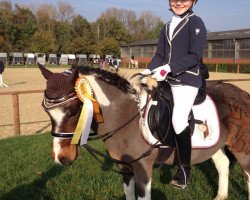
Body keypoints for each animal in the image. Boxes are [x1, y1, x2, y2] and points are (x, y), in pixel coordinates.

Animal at [38, 64, 249, 200]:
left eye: (74, 111)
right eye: (46, 111)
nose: (60, 157)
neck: (126, 115)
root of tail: (241, 94)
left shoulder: (143, 170)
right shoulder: (126, 168)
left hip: (242, 148)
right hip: (215, 146)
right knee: (223, 164)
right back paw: (221, 196)